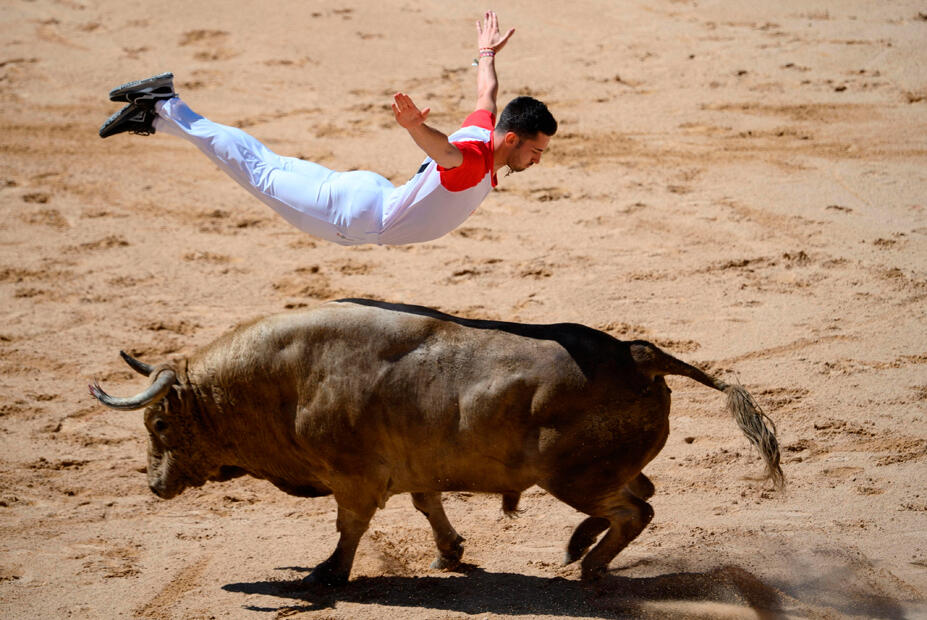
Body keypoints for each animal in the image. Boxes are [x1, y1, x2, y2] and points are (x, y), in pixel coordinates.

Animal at [89, 298, 784, 584]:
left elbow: (350, 527)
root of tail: (637, 354)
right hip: (600, 471)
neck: (287, 380)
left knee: (635, 510)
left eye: (158, 425)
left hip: (574, 478)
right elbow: (428, 505)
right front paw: (450, 554)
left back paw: (587, 565)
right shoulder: (415, 467)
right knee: (643, 492)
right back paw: (580, 548)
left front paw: (327, 575)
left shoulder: (355, 480)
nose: (154, 485)